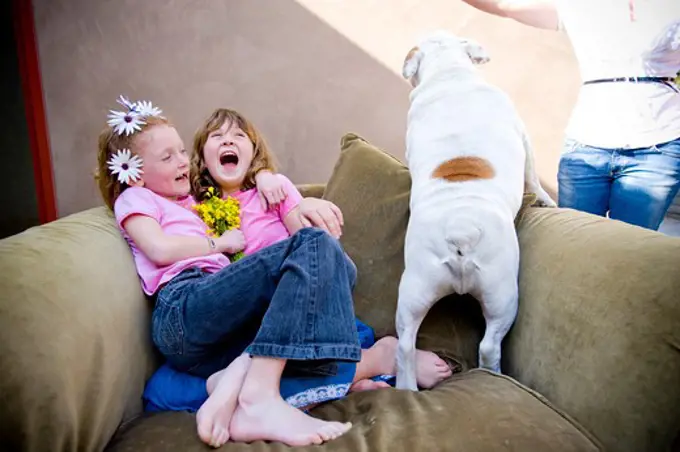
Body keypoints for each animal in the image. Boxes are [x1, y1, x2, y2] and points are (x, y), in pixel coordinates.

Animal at [396, 32, 556, 392]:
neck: (448, 73)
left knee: (405, 344)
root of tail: (461, 227)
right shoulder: (524, 137)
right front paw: (546, 199)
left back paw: (406, 385)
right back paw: (492, 371)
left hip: (414, 289)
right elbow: (534, 175)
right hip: (503, 296)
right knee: (489, 345)